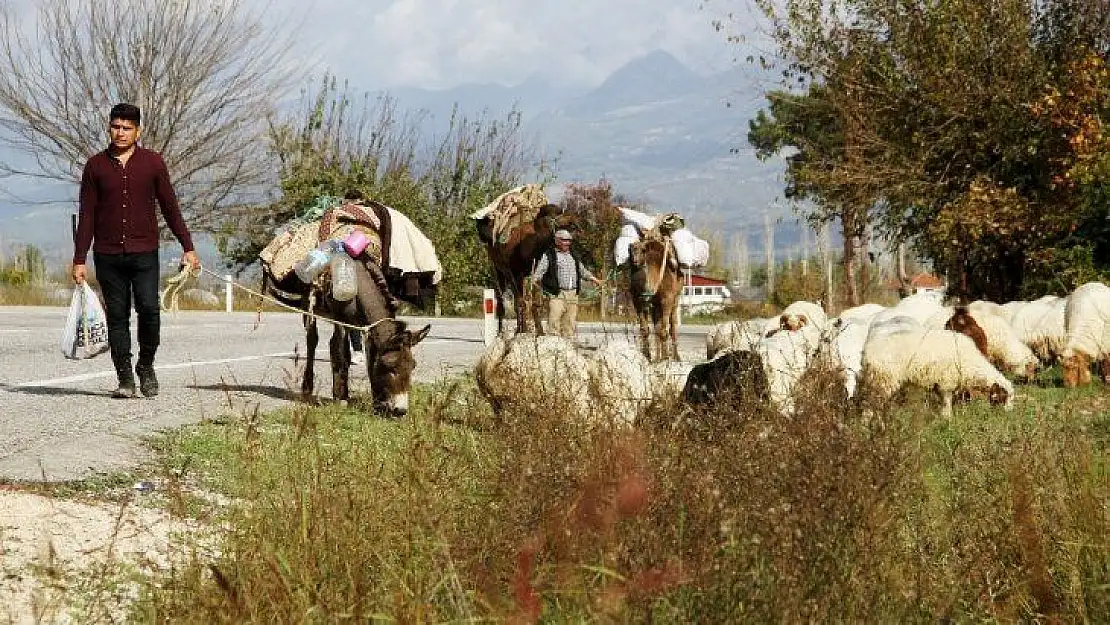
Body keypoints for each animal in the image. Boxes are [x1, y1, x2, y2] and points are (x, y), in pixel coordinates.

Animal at [861, 328, 1016, 415]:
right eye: (1003, 397)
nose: (1008, 414)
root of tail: (867, 352)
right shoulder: (947, 381)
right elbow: (947, 402)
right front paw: (947, 417)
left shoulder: (939, 383)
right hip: (884, 379)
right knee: (871, 404)